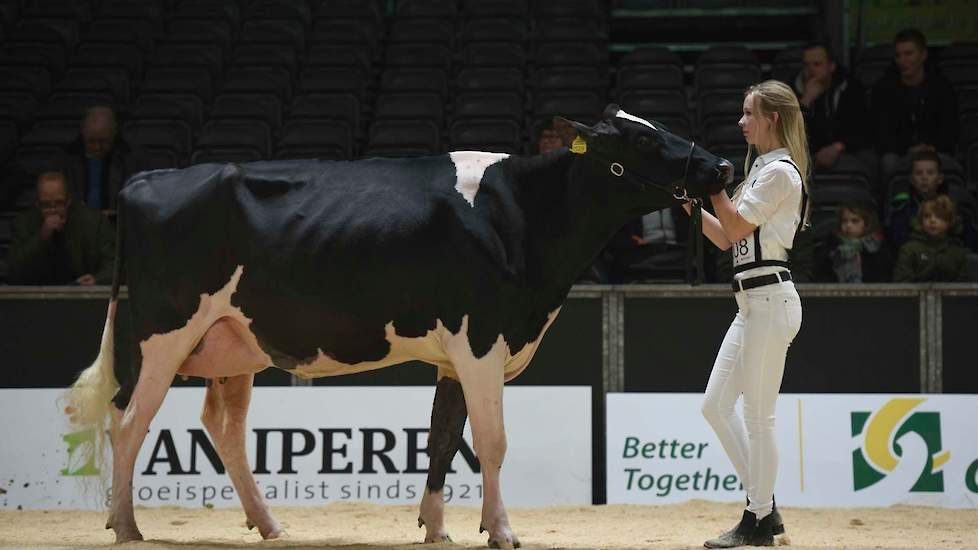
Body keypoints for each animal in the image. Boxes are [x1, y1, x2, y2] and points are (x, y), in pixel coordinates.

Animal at [65, 105, 728, 548]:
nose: (721, 165)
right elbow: (491, 441)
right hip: (162, 335)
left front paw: (436, 528)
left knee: (222, 429)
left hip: (232, 343)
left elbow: (443, 438)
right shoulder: (481, 340)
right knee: (129, 419)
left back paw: (270, 523)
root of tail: (147, 180)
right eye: (643, 136)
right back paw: (126, 526)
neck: (525, 214)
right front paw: (501, 530)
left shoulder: (453, 354)